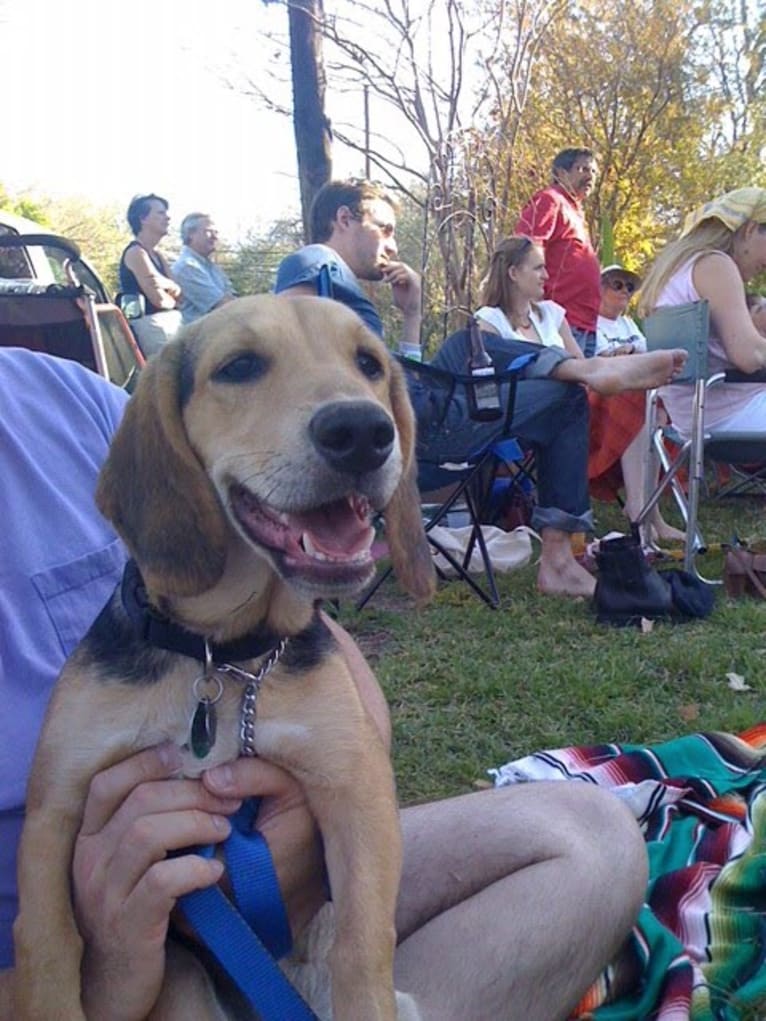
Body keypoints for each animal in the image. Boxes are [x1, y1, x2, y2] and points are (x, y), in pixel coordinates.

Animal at [13, 296, 437, 1021]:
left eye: (369, 363)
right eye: (239, 367)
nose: (362, 430)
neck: (221, 654)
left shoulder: (355, 787)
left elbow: (361, 941)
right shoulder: (54, 808)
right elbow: (45, 948)